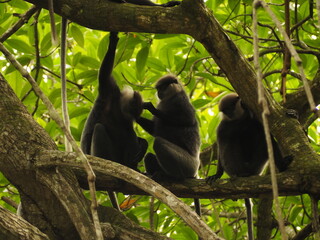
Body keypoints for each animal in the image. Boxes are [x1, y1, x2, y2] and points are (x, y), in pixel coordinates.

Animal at [136, 75, 201, 218]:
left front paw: (151, 108)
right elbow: (153, 128)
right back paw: (157, 174)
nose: (159, 92)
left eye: (163, 87)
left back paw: (174, 177)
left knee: (159, 142)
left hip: (188, 164)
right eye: (158, 88)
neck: (171, 97)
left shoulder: (181, 101)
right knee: (149, 156)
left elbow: (187, 120)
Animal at [206, 93, 294, 240]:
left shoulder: (253, 118)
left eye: (230, 108)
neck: (241, 120)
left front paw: (292, 113)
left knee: (264, 135)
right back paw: (238, 174)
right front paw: (217, 174)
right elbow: (220, 145)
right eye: (225, 111)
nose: (228, 114)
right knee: (227, 139)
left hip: (257, 165)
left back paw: (281, 165)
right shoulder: (223, 125)